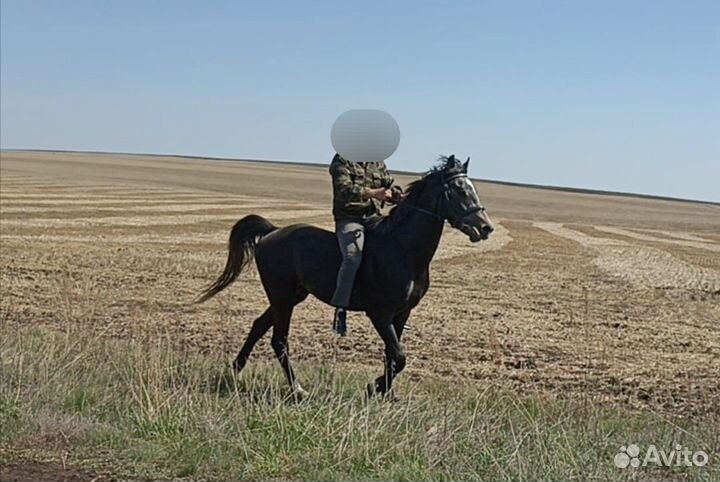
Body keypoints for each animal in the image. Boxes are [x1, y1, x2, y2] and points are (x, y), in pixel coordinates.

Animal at [196, 155, 494, 398]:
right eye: (459, 189)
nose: (486, 227)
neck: (402, 250)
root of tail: (272, 231)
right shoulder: (380, 313)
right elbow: (399, 356)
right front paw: (374, 386)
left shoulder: (402, 313)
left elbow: (392, 356)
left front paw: (386, 392)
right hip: (281, 296)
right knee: (279, 340)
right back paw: (297, 389)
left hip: (292, 296)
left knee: (259, 326)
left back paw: (234, 371)